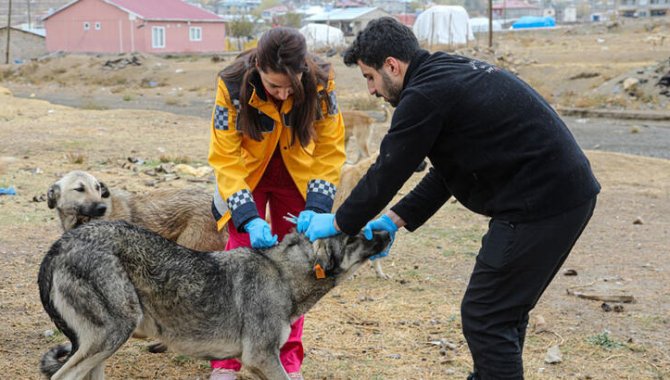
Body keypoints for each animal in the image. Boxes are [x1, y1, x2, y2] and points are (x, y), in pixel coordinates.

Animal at [38, 221, 394, 378]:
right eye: (357, 235)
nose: (388, 231)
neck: (284, 274)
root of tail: (61, 244)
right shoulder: (261, 358)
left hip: (104, 347)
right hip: (113, 334)